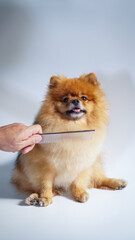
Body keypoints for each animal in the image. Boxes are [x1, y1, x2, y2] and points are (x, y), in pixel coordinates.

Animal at [11, 73, 126, 206]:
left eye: (84, 98)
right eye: (65, 99)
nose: (75, 100)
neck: (73, 126)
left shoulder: (84, 163)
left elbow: (78, 182)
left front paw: (80, 193)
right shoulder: (44, 167)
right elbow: (45, 185)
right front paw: (45, 197)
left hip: (95, 164)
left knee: (99, 179)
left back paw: (116, 182)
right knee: (50, 189)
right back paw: (34, 198)